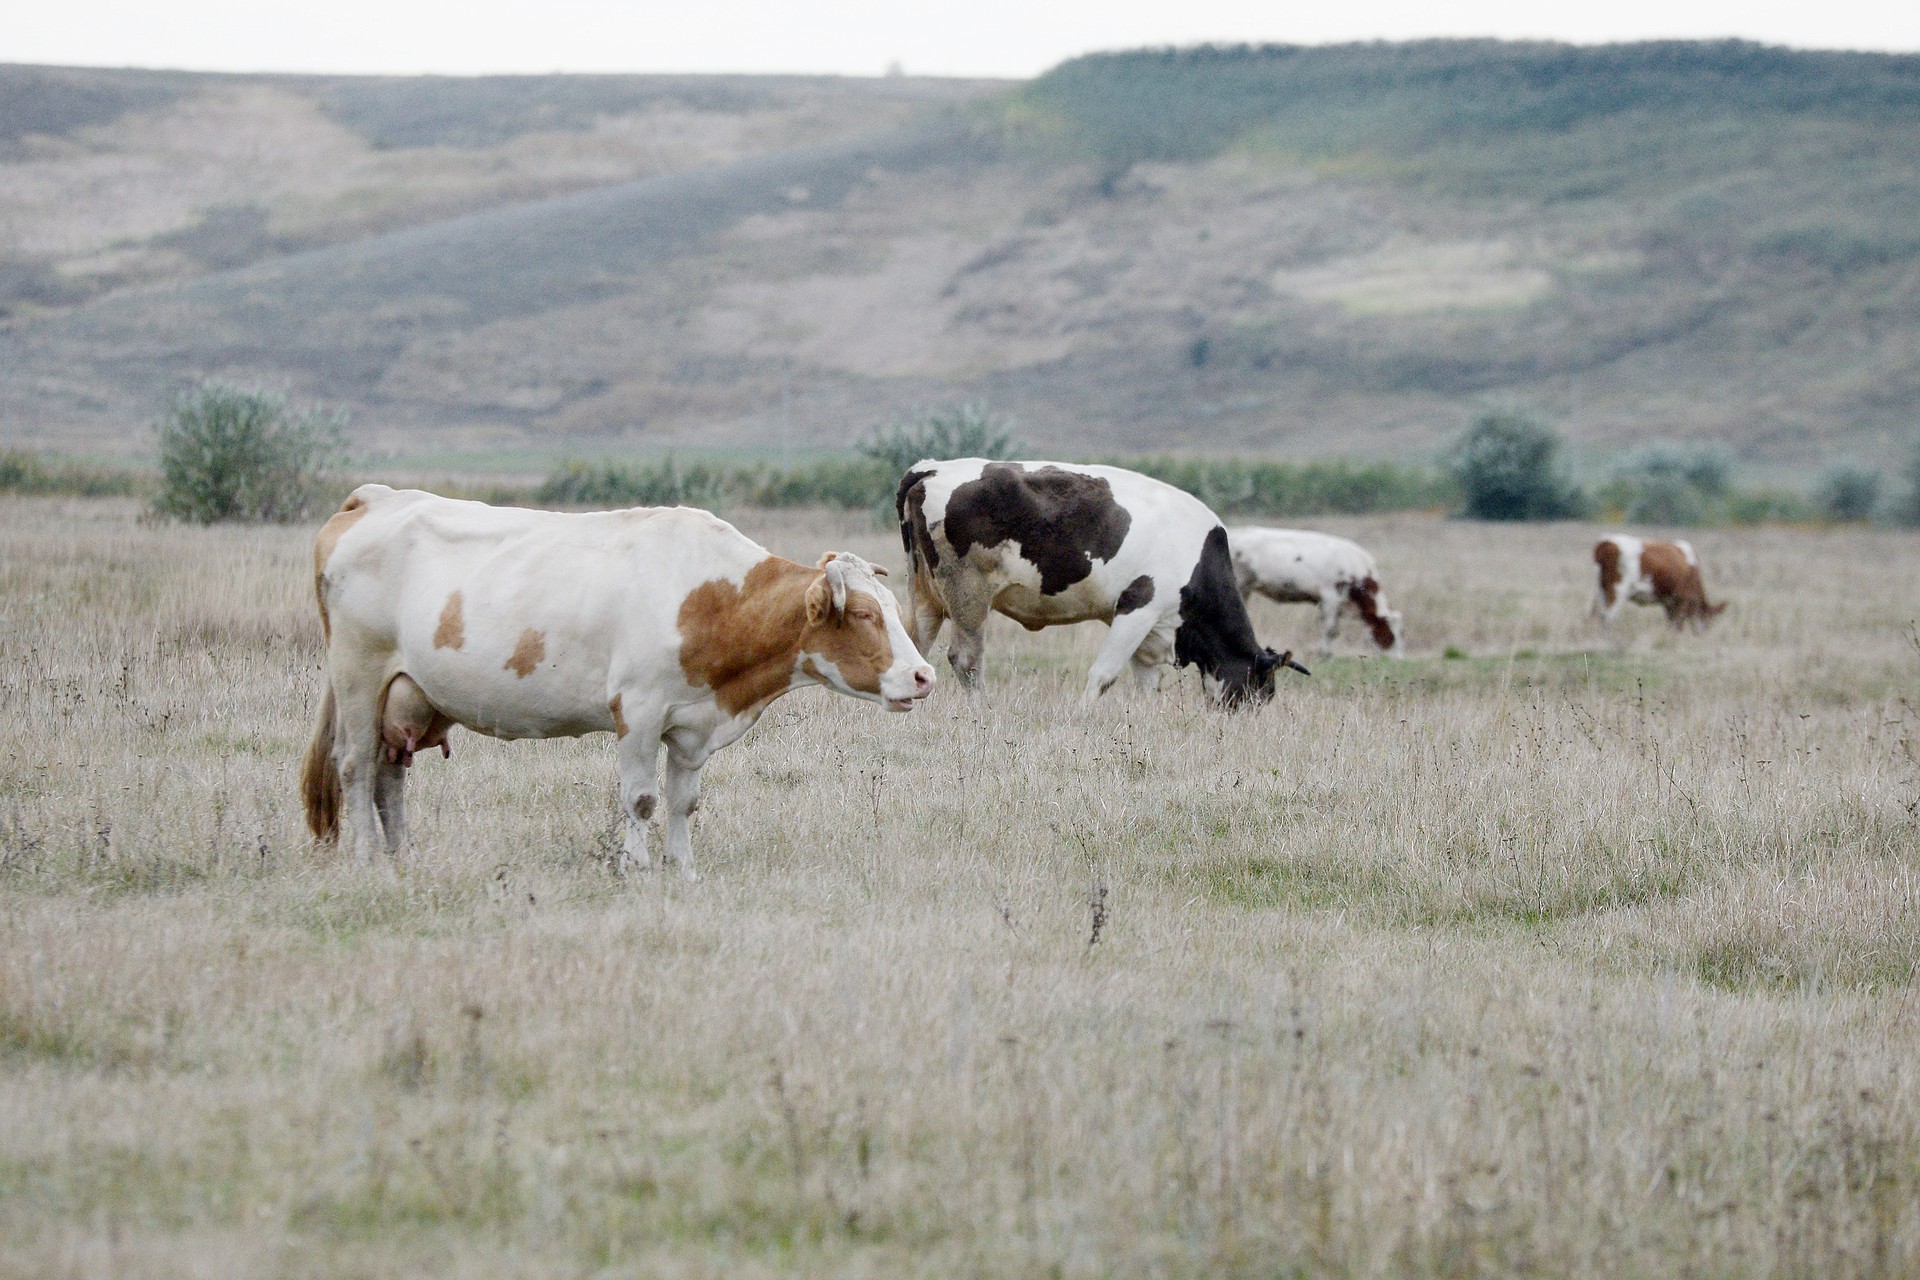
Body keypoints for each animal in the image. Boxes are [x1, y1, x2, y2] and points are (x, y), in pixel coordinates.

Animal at [299, 485, 936, 875]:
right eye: (864, 614)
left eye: (891, 607)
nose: (924, 675)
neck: (711, 600)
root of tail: (377, 497)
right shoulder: (639, 710)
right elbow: (643, 798)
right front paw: (637, 866)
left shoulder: (692, 725)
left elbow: (683, 802)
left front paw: (683, 869)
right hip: (358, 676)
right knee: (356, 767)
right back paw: (366, 857)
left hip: (406, 695)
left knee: (389, 777)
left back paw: (401, 854)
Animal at [894, 460, 1305, 706]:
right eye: (1261, 689)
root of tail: (929, 469)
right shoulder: (1138, 607)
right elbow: (1104, 674)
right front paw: (1083, 714)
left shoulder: (1153, 630)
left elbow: (1147, 681)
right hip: (968, 592)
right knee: (965, 659)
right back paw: (984, 710)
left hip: (925, 592)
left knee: (914, 646)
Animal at [1221, 525, 1405, 656]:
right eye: (1391, 635)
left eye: (1401, 634)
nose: (1397, 660)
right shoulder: (1331, 596)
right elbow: (1330, 629)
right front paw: (1324, 654)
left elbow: (1331, 628)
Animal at [1589, 529, 1728, 637]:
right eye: (1709, 620)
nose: (1701, 634)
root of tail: (1606, 542)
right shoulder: (1682, 599)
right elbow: (1678, 624)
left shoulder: (1669, 602)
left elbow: (1670, 623)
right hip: (1617, 589)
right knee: (1608, 615)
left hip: (1600, 589)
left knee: (1599, 614)